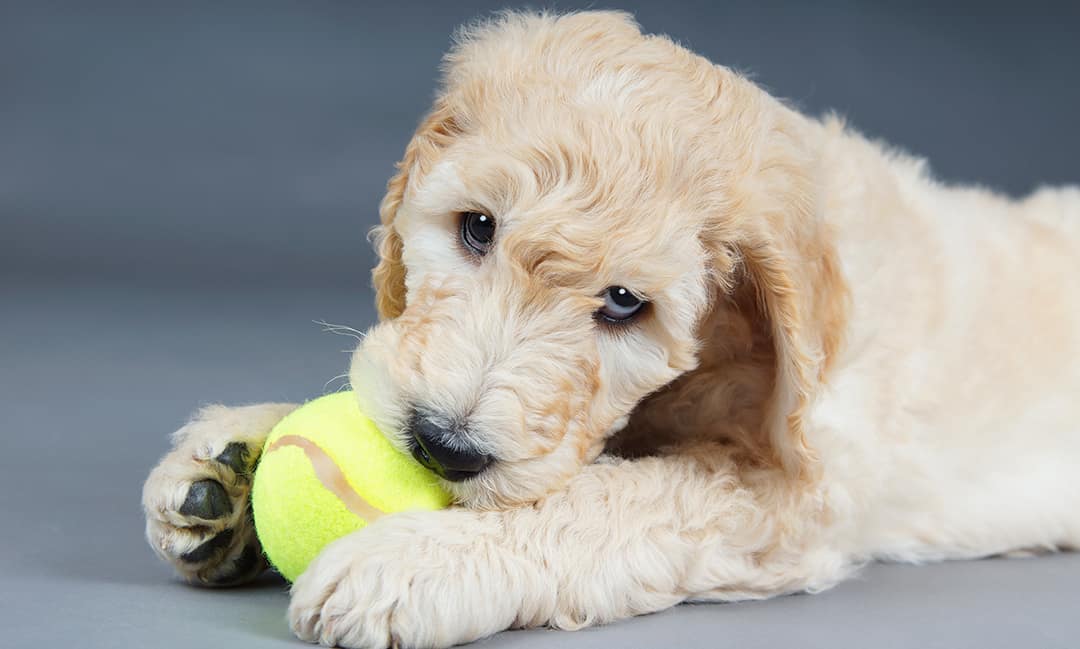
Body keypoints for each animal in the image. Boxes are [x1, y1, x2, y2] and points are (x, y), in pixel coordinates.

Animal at [143, 11, 1080, 647]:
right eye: (476, 227)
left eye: (626, 304)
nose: (443, 445)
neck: (740, 346)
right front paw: (234, 460)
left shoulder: (788, 498)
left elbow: (602, 500)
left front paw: (411, 560)